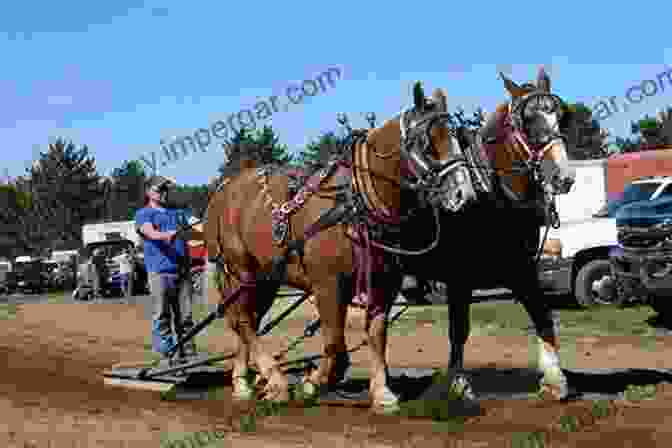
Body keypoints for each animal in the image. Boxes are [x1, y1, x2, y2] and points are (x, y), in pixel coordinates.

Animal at [203, 83, 478, 412]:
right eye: (428, 142)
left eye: (457, 137)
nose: (465, 194)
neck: (356, 200)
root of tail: (225, 188)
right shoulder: (328, 284)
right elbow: (336, 344)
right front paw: (312, 382)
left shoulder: (384, 283)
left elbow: (376, 335)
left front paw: (382, 392)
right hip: (240, 269)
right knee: (244, 321)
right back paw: (275, 381)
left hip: (266, 278)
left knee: (248, 320)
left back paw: (245, 381)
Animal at [400, 68, 576, 400]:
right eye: (527, 120)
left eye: (561, 116)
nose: (564, 176)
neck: (493, 197)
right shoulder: (459, 277)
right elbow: (459, 330)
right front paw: (458, 383)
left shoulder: (521, 269)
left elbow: (543, 315)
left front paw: (554, 380)